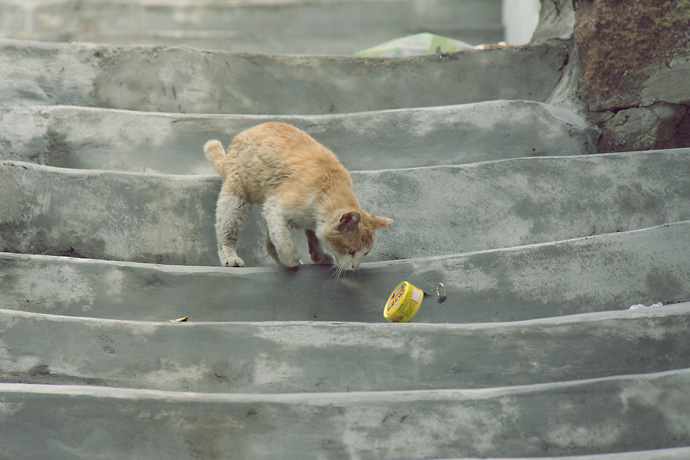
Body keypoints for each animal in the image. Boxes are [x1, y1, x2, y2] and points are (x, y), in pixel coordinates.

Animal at [202, 124, 390, 272]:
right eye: (350, 251)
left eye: (365, 253)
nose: (355, 267)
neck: (328, 188)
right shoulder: (275, 207)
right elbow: (285, 243)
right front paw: (291, 261)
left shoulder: (305, 219)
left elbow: (313, 238)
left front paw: (319, 256)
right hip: (235, 202)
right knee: (226, 232)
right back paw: (231, 258)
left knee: (268, 243)